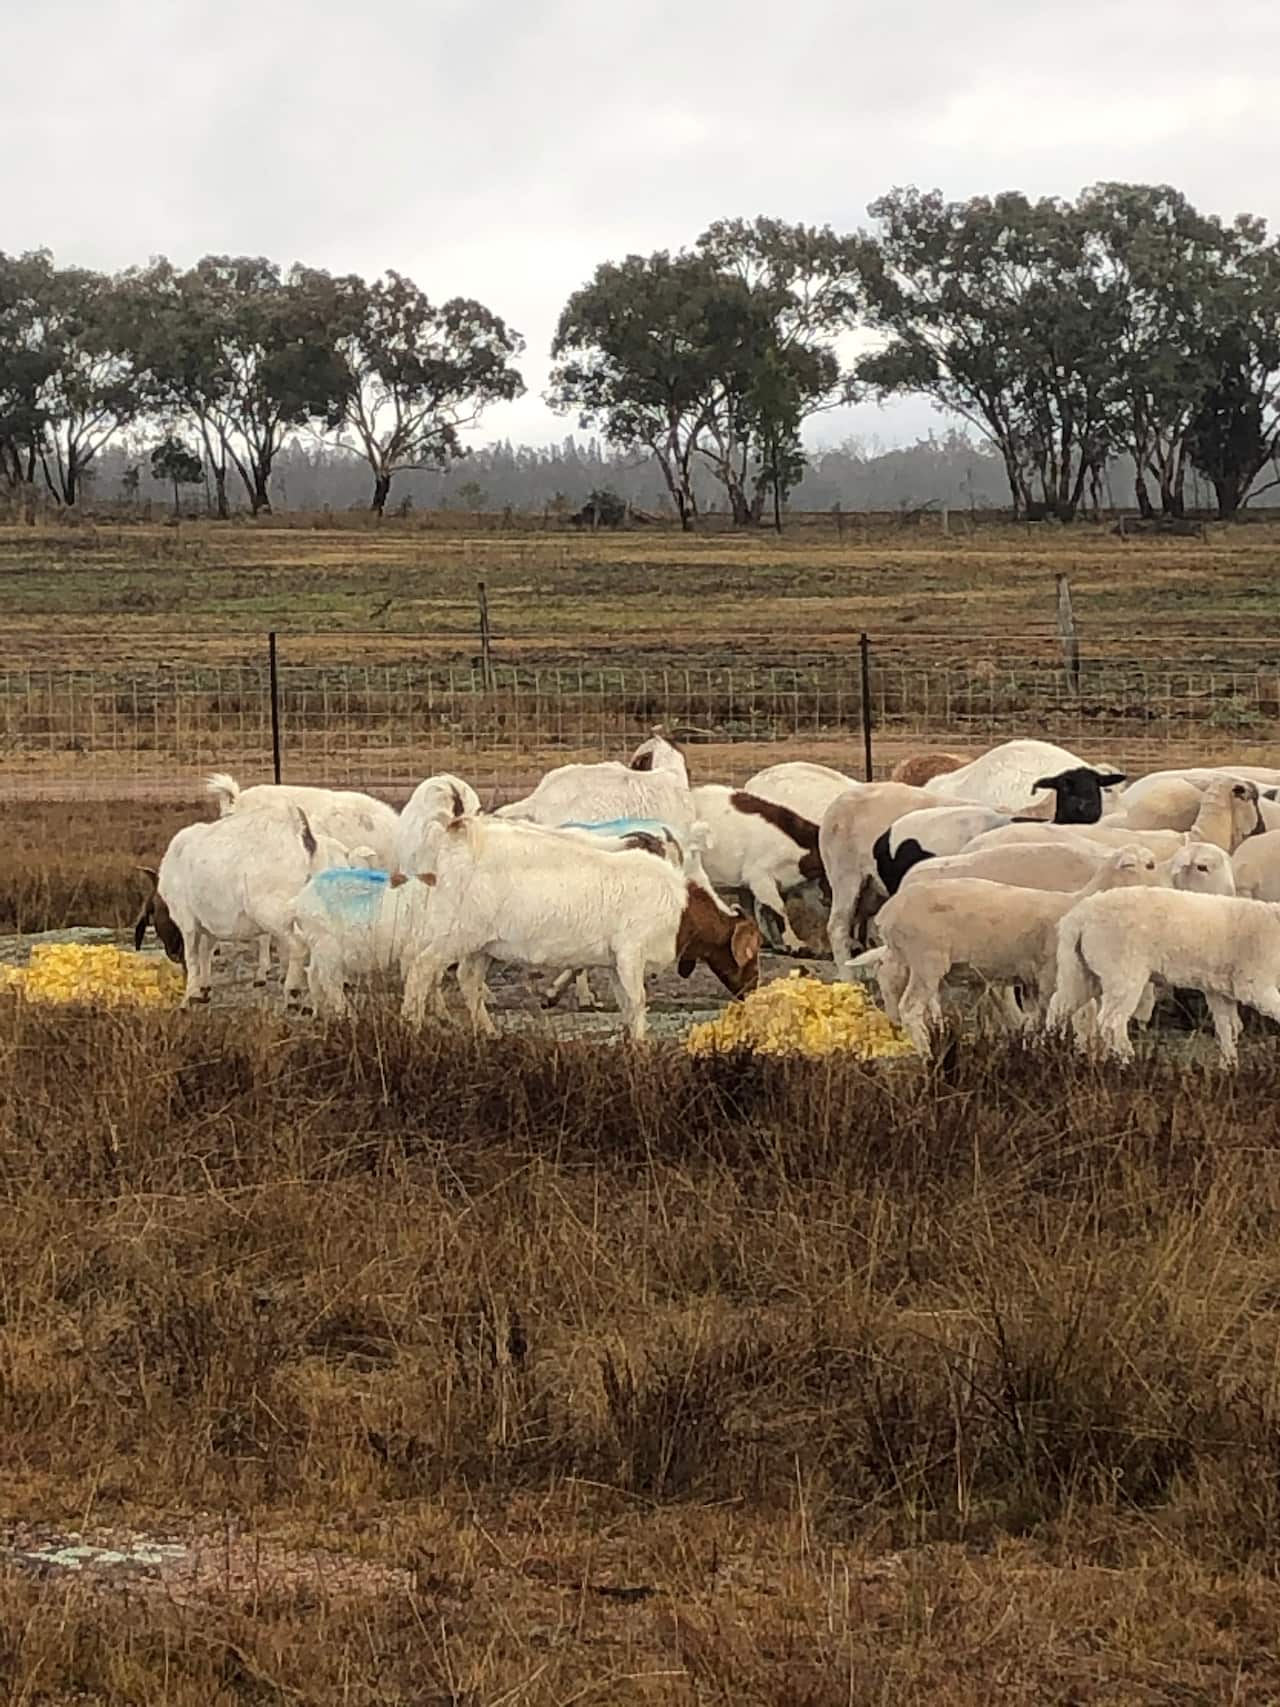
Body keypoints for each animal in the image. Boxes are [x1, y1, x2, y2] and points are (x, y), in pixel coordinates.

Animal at [135, 806, 353, 1006]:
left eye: (153, 911)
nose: (172, 952)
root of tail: (306, 839)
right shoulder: (208, 924)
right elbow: (206, 951)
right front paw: (204, 989)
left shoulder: (187, 921)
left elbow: (193, 956)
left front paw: (190, 996)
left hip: (274, 913)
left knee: (299, 945)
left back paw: (293, 992)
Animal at [400, 816, 762, 1040]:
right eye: (753, 950)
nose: (753, 989)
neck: (680, 905)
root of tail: (462, 831)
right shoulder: (631, 953)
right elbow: (638, 1000)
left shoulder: (616, 963)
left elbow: (627, 1004)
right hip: (454, 934)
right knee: (421, 968)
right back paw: (411, 1025)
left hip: (481, 945)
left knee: (468, 980)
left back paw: (489, 1032)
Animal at [874, 846, 1166, 1055]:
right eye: (1150, 864)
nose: (1167, 888)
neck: (1076, 901)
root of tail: (889, 911)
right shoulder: (1050, 976)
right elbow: (1062, 1017)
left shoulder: (1032, 981)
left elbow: (1034, 1021)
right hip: (927, 961)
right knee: (910, 1008)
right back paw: (926, 1051)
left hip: (904, 959)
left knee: (892, 986)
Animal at [1048, 888, 1280, 1066]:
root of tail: (1078, 917)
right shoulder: (1253, 984)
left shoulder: (1221, 989)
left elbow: (1229, 1028)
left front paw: (1229, 1069)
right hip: (1123, 970)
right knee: (1111, 1022)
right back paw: (1127, 1064)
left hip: (1081, 970)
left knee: (1058, 1006)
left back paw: (1048, 1050)